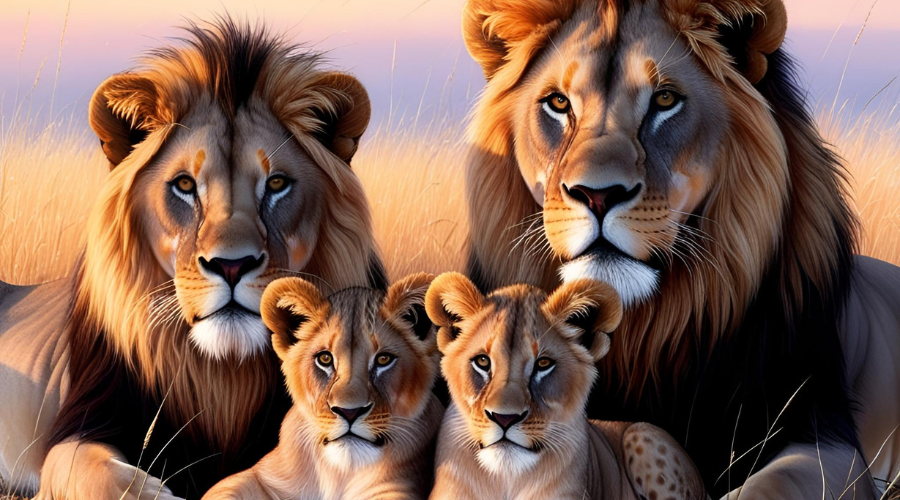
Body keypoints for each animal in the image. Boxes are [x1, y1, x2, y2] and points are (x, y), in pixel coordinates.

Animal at [0, 18, 387, 499]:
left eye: (277, 184)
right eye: (184, 185)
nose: (232, 265)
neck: (223, 376)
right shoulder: (84, 423)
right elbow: (86, 467)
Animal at [202, 273, 443, 500]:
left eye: (384, 359)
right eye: (325, 359)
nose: (349, 412)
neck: (339, 475)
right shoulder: (257, 476)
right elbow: (224, 489)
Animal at [460, 0, 900, 497]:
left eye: (665, 100)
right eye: (558, 103)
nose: (597, 194)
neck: (636, 332)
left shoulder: (824, 430)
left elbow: (771, 484)